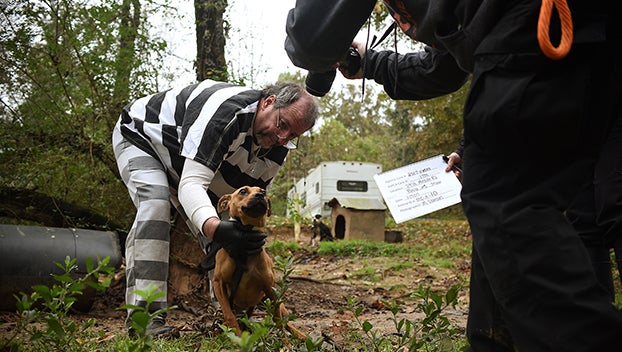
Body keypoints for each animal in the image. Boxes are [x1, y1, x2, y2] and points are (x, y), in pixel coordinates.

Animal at [212, 186, 308, 340]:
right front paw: (238, 339)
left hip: (277, 302)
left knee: (286, 321)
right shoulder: (218, 283)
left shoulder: (269, 289)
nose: (260, 195)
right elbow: (229, 315)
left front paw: (285, 344)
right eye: (243, 191)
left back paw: (302, 336)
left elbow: (278, 320)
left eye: (263, 191)